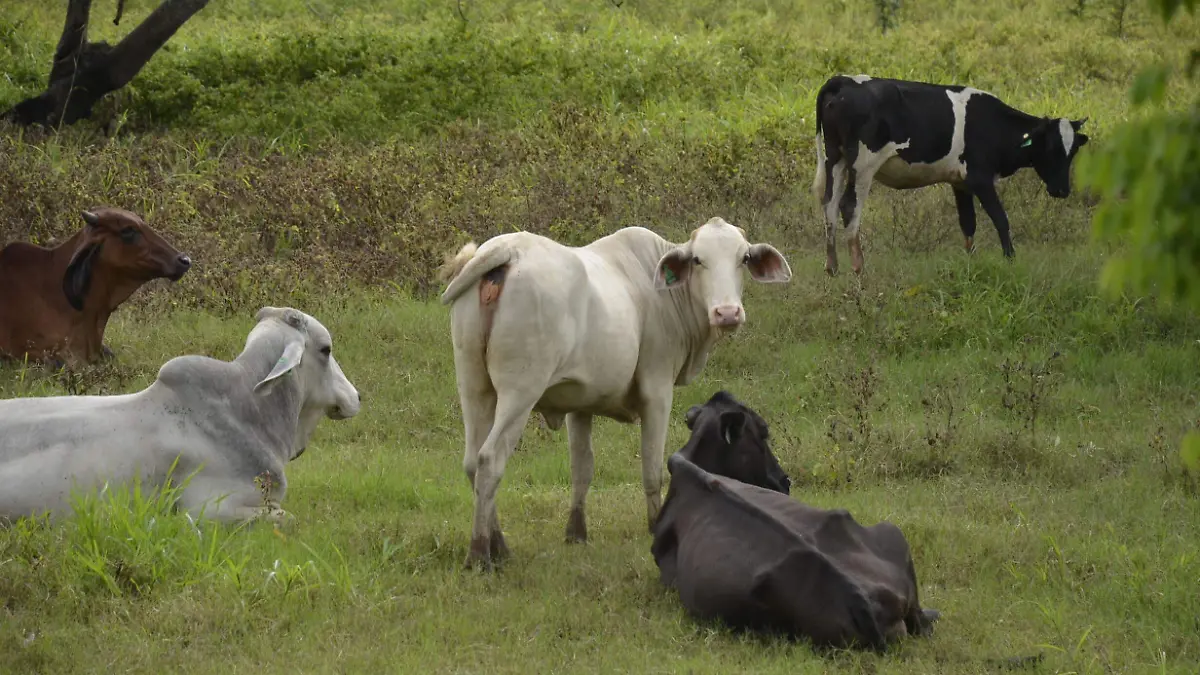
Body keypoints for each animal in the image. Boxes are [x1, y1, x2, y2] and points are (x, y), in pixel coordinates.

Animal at [816, 74, 1089, 273]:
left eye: (1074, 149)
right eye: (1050, 147)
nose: (1062, 190)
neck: (994, 124)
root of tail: (845, 80)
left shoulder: (960, 182)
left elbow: (968, 223)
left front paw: (971, 262)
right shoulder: (980, 179)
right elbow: (1001, 219)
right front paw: (1010, 260)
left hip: (835, 159)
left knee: (829, 204)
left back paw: (832, 268)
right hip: (863, 165)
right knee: (849, 206)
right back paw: (858, 268)